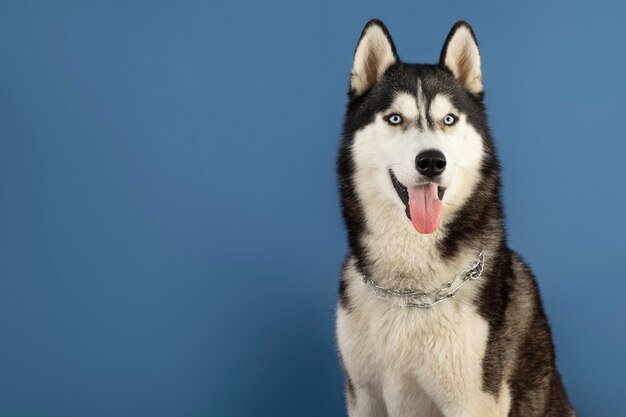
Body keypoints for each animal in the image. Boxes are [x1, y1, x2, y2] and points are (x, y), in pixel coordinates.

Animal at [334, 19, 572, 416]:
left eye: (449, 119)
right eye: (394, 118)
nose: (431, 161)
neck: (410, 290)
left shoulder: (472, 401)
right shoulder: (363, 395)